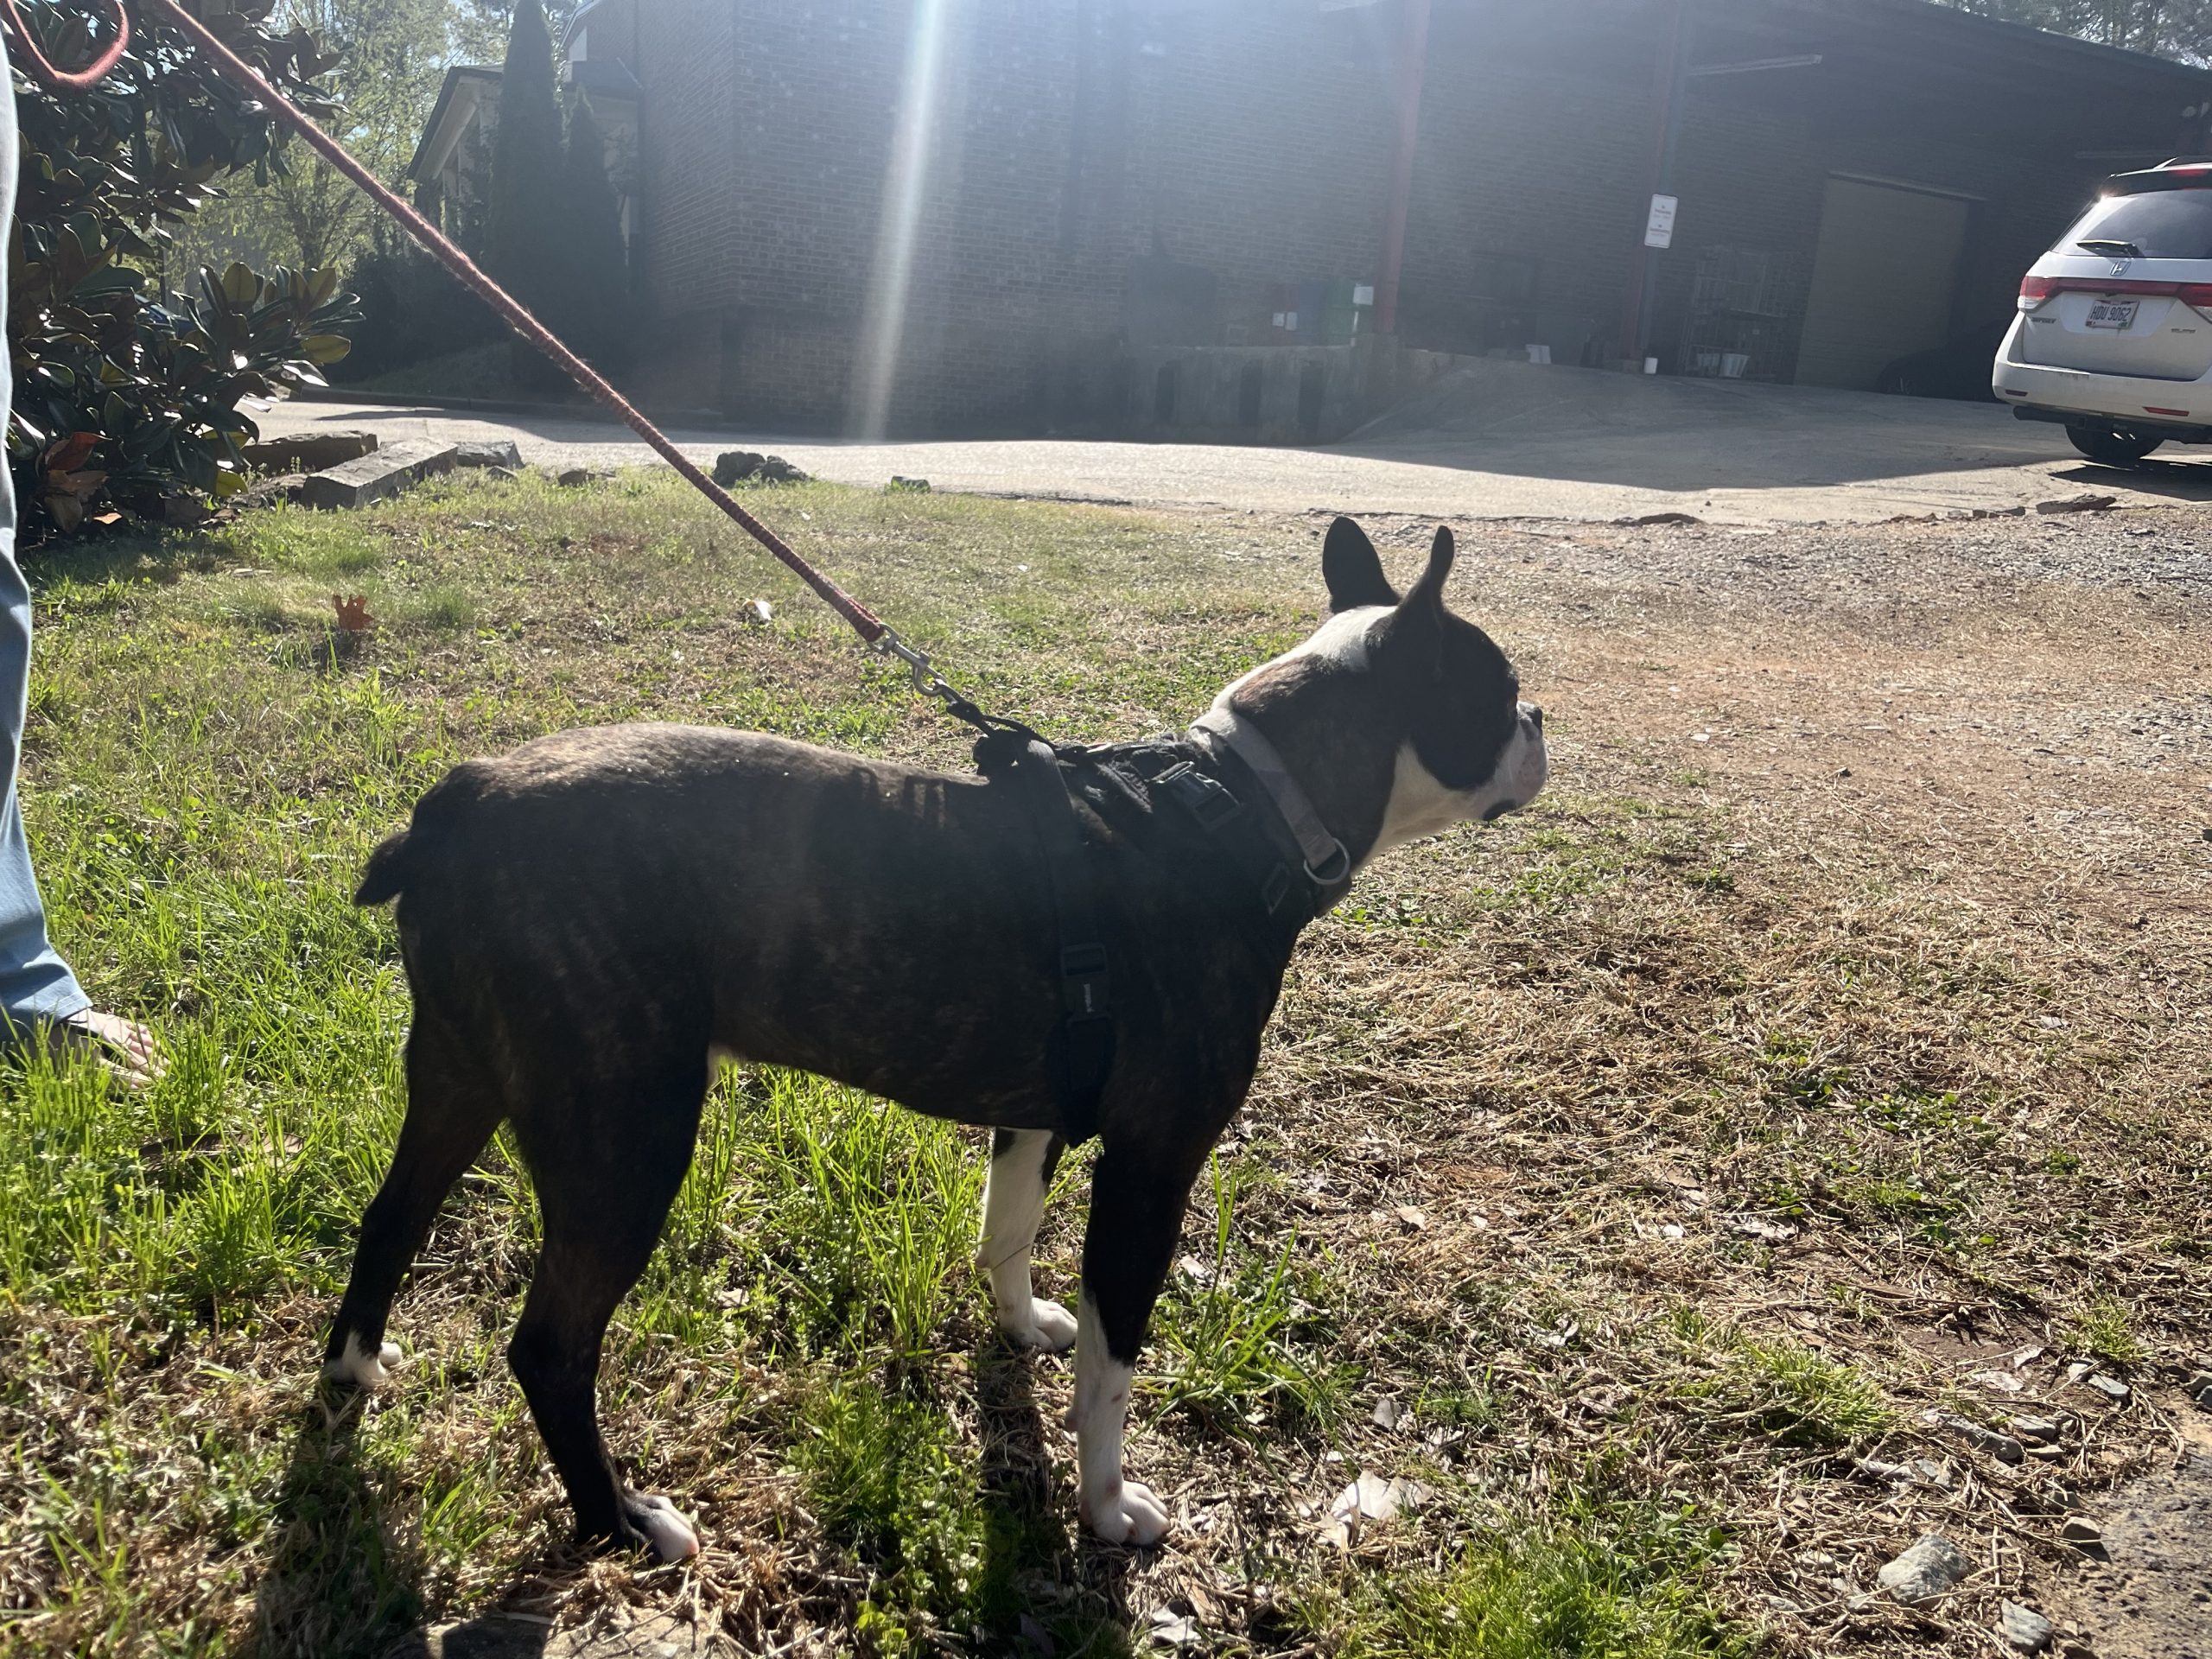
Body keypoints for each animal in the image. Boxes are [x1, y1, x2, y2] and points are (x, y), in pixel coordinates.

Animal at [324, 515, 1546, 1559]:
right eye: (1500, 691)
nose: (1541, 724)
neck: (1244, 808)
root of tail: (459, 802)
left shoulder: (1034, 1116)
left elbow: (1006, 1234)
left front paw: (1019, 1328)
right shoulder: (1153, 1166)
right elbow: (1112, 1361)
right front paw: (1108, 1507)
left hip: (459, 1077)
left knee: (388, 1222)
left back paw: (354, 1376)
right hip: (623, 1137)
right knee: (550, 1346)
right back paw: (619, 1520)